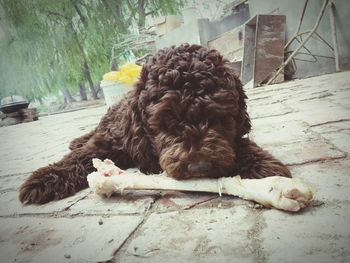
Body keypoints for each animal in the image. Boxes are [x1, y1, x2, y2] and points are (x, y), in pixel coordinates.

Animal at [19, 43, 292, 205]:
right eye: (166, 121)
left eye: (218, 117)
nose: (199, 166)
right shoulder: (109, 143)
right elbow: (80, 157)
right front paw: (46, 179)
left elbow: (239, 144)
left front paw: (263, 165)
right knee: (89, 136)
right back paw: (76, 141)